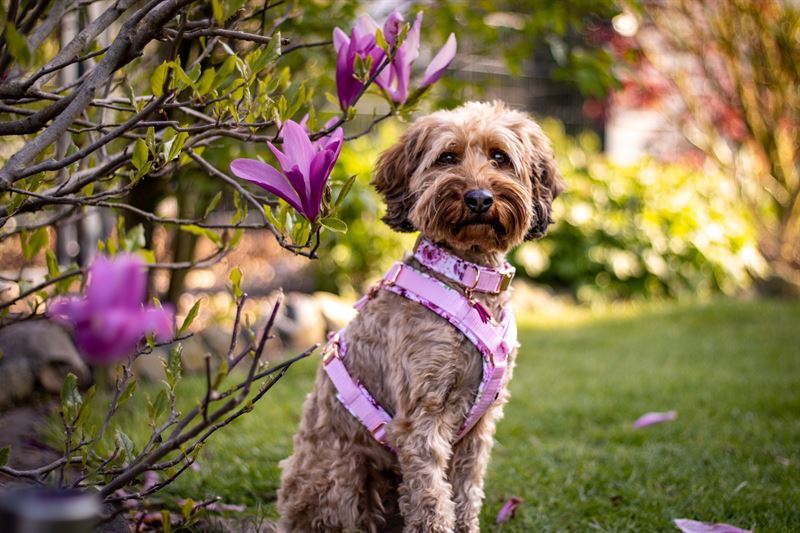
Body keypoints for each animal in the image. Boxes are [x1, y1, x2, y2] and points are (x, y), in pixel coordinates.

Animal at [276, 102, 564, 528]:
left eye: (499, 157)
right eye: (447, 158)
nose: (479, 198)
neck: (466, 278)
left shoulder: (478, 429)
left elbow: (466, 495)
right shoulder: (420, 417)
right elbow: (432, 498)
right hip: (340, 474)